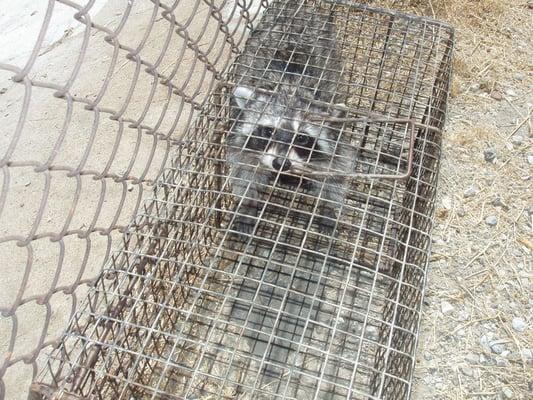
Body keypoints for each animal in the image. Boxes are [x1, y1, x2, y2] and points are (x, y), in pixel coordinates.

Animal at [225, 0, 348, 234]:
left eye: (302, 138)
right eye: (268, 130)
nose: (281, 164)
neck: (289, 87)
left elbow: (336, 171)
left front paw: (328, 207)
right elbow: (244, 169)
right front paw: (247, 204)